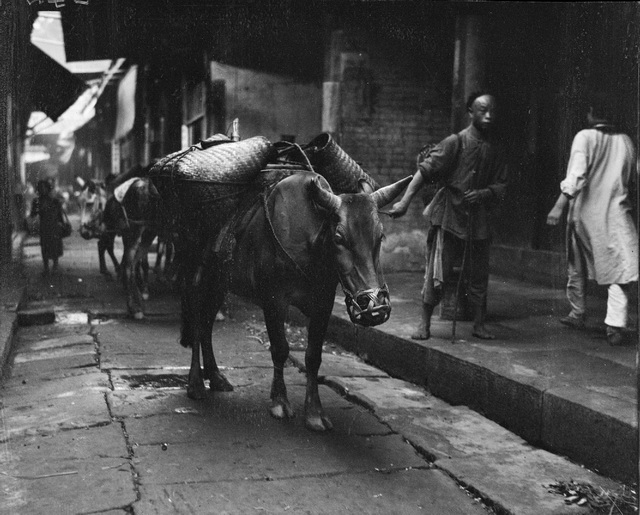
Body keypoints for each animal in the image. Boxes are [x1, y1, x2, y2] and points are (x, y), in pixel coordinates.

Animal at [181, 172, 410, 432]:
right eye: (339, 237)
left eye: (380, 236)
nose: (374, 307)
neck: (311, 247)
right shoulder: (273, 301)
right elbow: (280, 349)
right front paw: (279, 402)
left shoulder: (323, 304)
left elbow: (313, 357)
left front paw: (314, 413)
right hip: (196, 276)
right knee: (197, 324)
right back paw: (196, 385)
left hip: (219, 283)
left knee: (207, 325)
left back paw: (216, 377)